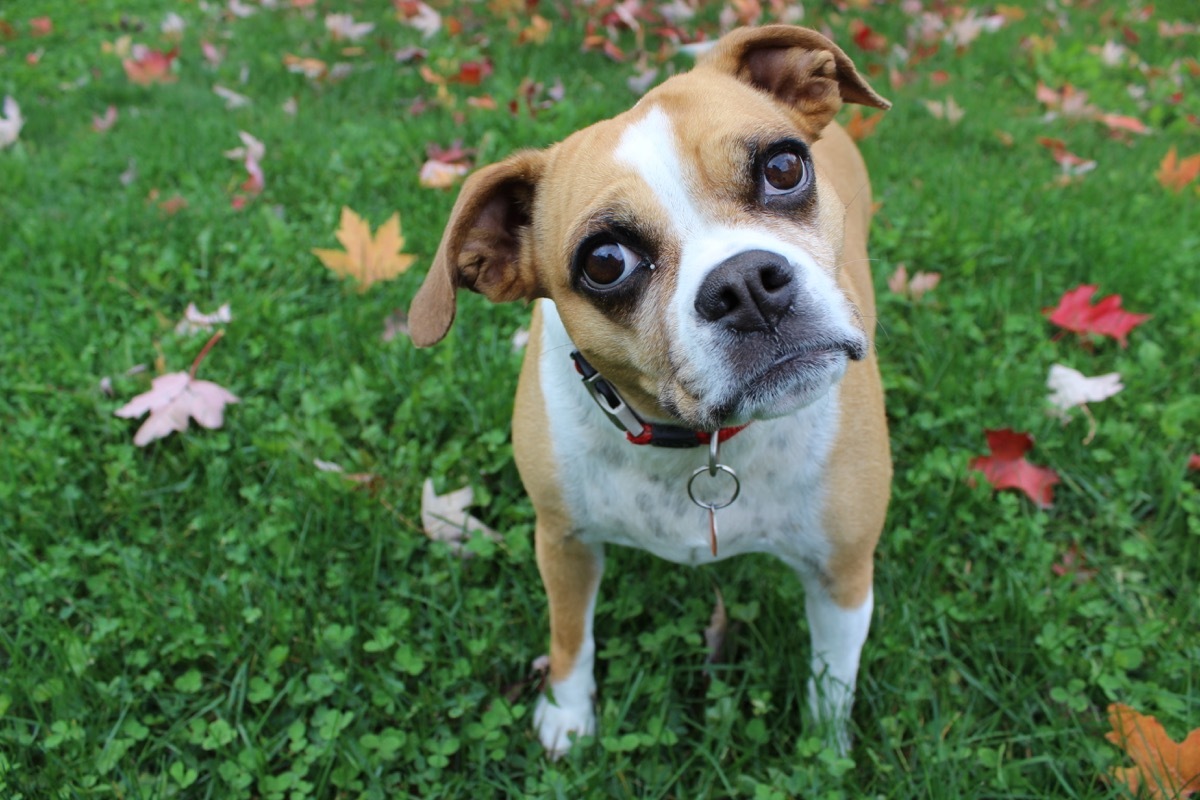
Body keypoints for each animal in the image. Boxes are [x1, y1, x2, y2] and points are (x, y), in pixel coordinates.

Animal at [412, 25, 892, 762]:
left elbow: (831, 681)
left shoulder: (842, 575)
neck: (695, 440)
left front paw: (824, 753)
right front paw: (568, 715)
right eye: (606, 262)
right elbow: (570, 638)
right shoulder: (563, 542)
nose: (746, 284)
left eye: (784, 169)